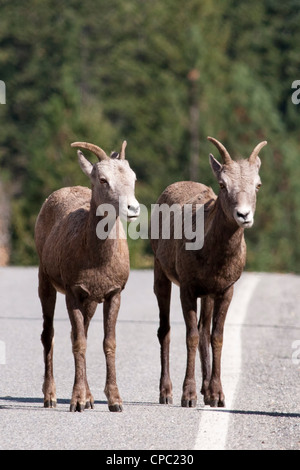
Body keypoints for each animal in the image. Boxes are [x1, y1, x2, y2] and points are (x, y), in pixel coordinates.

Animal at [34, 140, 140, 412]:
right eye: (103, 179)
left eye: (133, 177)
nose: (133, 208)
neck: (97, 260)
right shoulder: (73, 292)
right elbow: (78, 343)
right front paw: (77, 401)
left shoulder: (112, 294)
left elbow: (107, 342)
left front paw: (114, 401)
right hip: (45, 283)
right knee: (48, 334)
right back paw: (50, 397)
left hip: (90, 302)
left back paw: (91, 399)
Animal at [151, 136, 266, 408]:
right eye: (223, 184)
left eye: (257, 185)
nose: (243, 215)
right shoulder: (188, 289)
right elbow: (191, 336)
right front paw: (189, 396)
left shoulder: (224, 290)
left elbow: (216, 337)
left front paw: (216, 396)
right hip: (161, 276)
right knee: (165, 331)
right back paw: (166, 393)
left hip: (208, 296)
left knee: (204, 331)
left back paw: (205, 389)